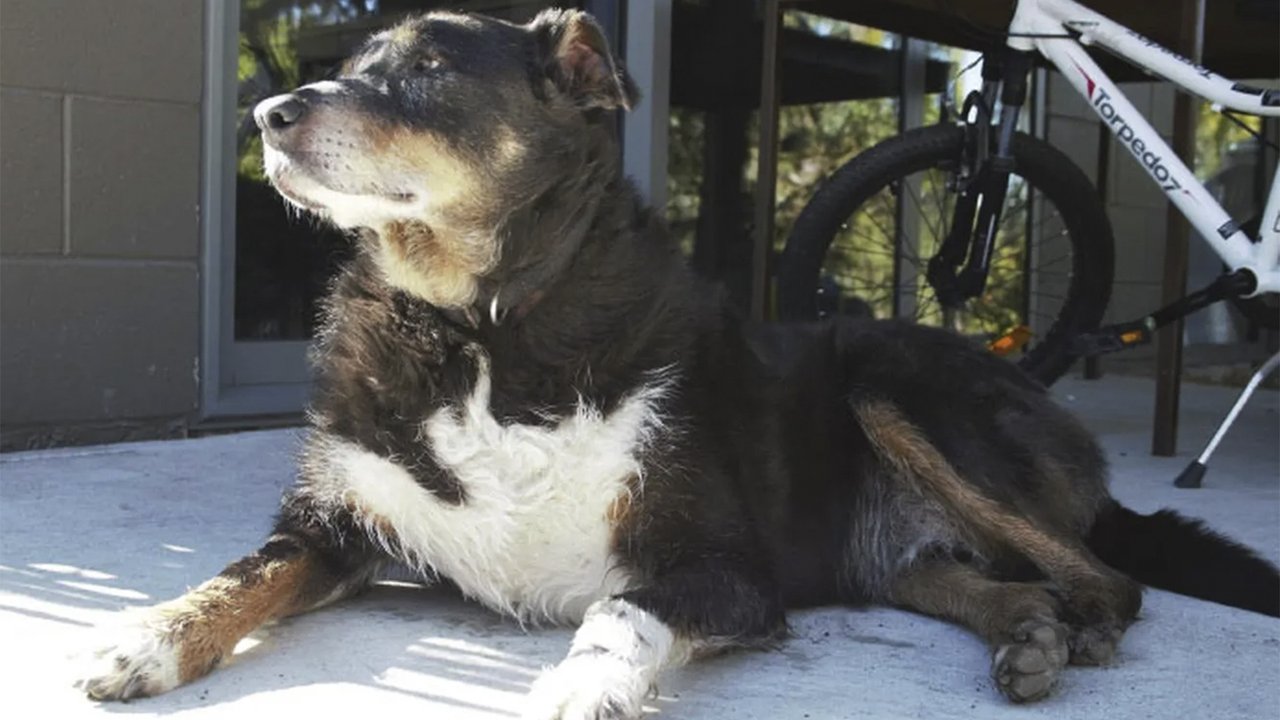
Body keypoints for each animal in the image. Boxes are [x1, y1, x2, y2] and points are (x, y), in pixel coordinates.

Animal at [80, 7, 1280, 712]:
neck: (480, 327)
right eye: (349, 64)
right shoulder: (330, 526)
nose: (268, 112)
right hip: (886, 549)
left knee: (1110, 580)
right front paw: (145, 638)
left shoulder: (723, 569)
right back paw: (1025, 636)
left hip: (890, 384)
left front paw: (578, 690)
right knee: (979, 580)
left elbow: (620, 612)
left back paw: (1072, 635)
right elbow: (240, 575)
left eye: (424, 72)